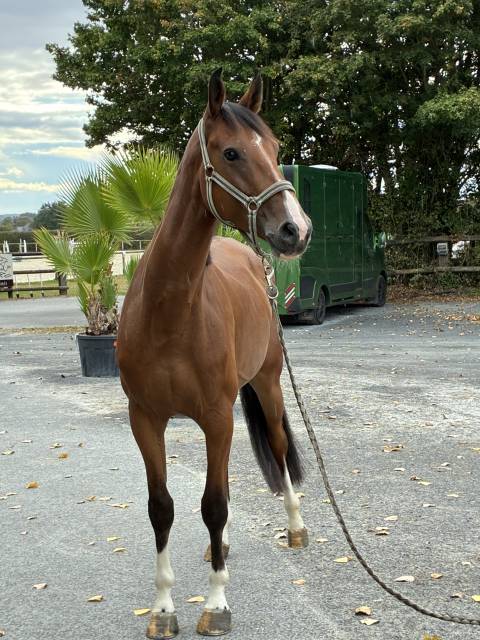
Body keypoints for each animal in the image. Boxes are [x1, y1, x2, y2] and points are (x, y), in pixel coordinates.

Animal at [117, 69, 313, 638]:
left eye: (275, 148)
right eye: (231, 153)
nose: (296, 229)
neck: (170, 315)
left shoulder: (217, 418)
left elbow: (216, 504)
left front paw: (216, 603)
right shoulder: (146, 419)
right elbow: (163, 507)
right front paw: (163, 608)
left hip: (266, 384)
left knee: (277, 447)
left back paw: (295, 527)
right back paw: (217, 549)